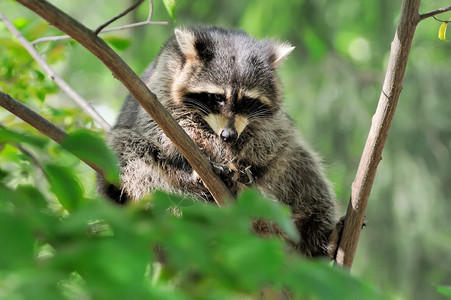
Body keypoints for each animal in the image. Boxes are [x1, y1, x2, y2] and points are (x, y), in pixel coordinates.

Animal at [100, 25, 340, 256]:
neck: (230, 38)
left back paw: (316, 233)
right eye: (217, 97)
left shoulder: (273, 120)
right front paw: (202, 151)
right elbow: (162, 130)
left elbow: (273, 137)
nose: (228, 136)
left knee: (302, 166)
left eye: (247, 101)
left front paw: (240, 160)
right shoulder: (159, 85)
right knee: (128, 149)